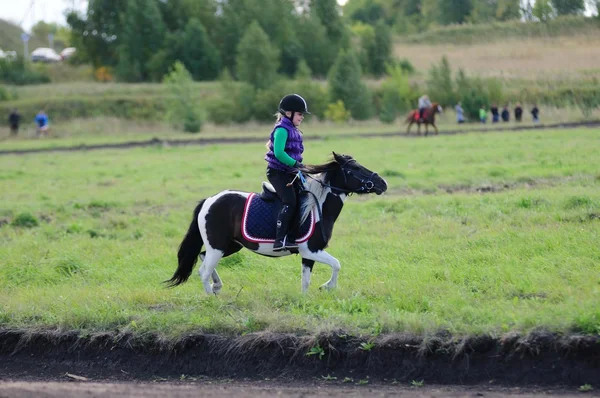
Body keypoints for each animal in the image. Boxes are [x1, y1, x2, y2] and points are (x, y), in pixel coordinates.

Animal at [165, 152, 390, 296]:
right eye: (354, 169)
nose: (383, 183)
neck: (317, 207)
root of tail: (209, 200)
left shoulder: (309, 254)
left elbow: (306, 281)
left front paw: (306, 300)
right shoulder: (311, 250)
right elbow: (336, 264)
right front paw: (327, 287)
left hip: (230, 246)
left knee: (203, 258)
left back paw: (217, 287)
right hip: (218, 246)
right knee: (203, 270)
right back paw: (212, 298)